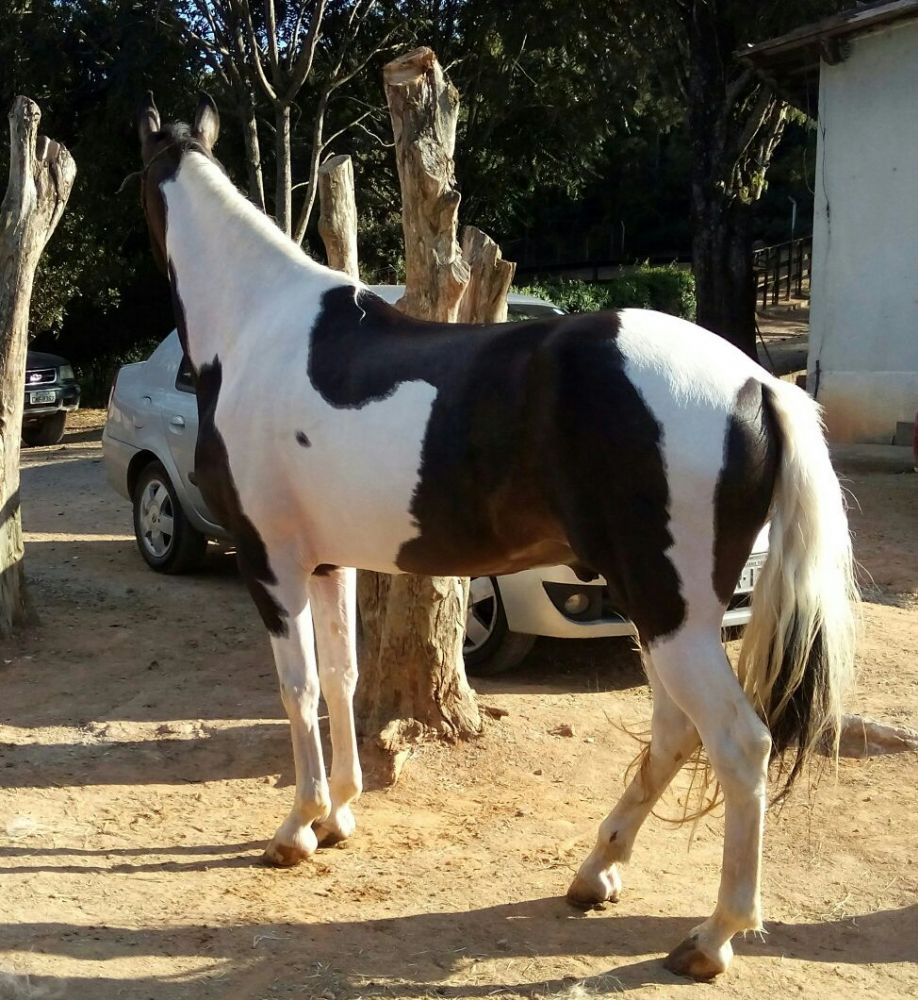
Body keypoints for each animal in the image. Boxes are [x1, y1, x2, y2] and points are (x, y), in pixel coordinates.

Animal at [135, 92, 856, 980]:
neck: (257, 327)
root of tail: (756, 385)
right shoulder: (326, 564)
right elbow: (340, 679)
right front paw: (340, 816)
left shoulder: (270, 563)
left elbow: (296, 689)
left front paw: (297, 829)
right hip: (663, 612)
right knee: (675, 733)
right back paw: (595, 873)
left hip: (669, 612)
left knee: (737, 742)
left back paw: (713, 936)